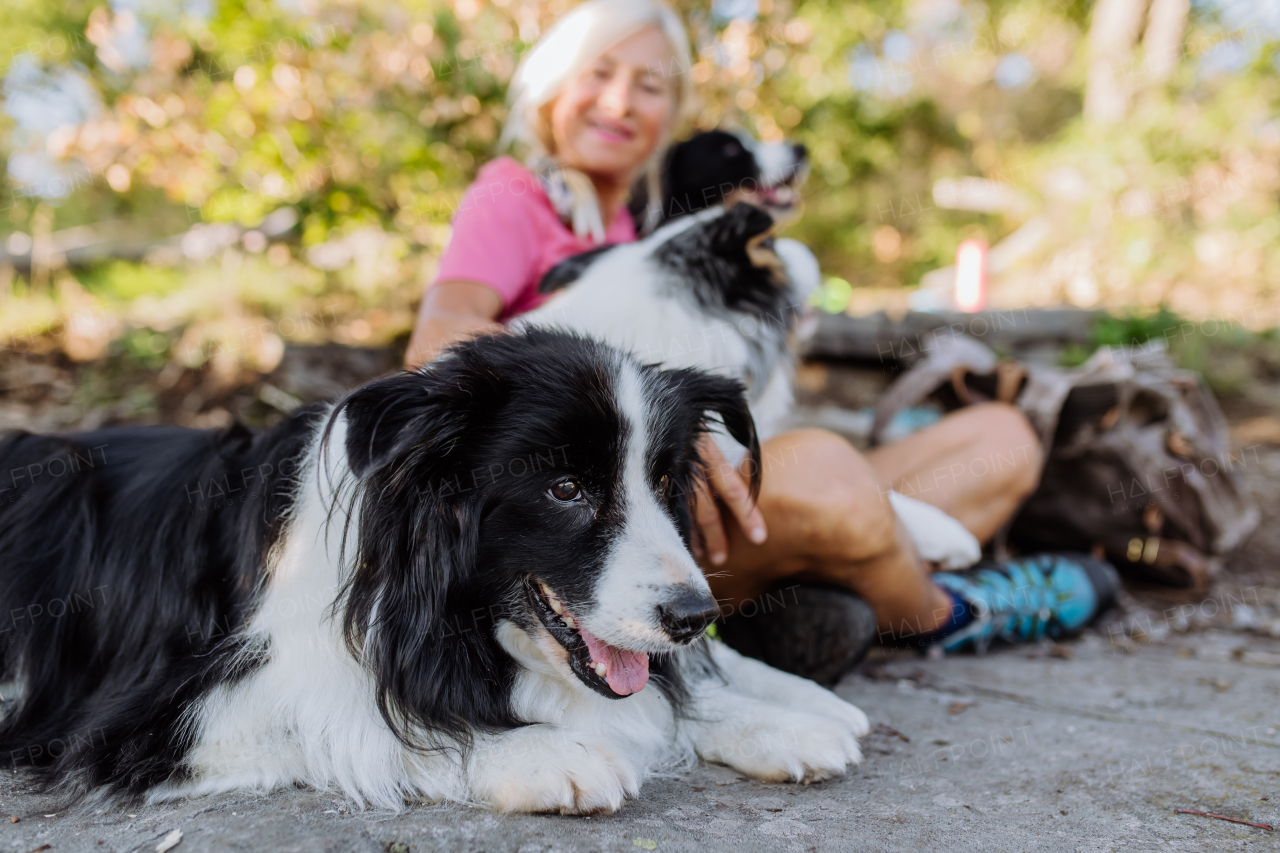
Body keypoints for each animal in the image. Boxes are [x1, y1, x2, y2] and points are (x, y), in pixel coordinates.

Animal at [0, 326, 870, 809]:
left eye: (662, 483)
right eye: (565, 488)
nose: (695, 616)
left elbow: (663, 693)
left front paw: (780, 711)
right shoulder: (162, 711)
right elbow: (360, 718)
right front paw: (543, 752)